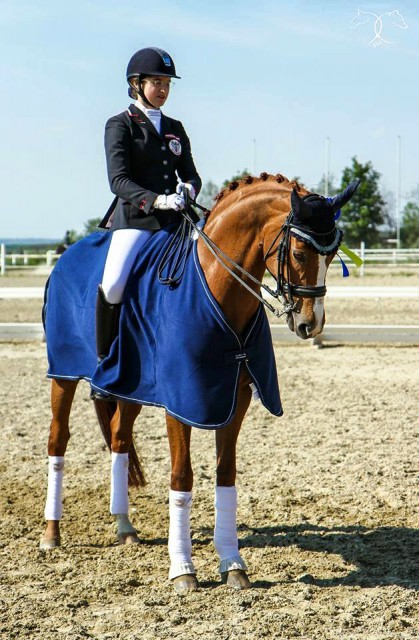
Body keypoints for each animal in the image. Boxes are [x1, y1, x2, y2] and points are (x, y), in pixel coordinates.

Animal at [40, 172, 360, 592]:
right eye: (299, 253)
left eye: (333, 253)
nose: (312, 324)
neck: (218, 286)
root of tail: (66, 256)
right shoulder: (182, 401)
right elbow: (182, 476)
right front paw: (182, 569)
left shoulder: (236, 397)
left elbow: (226, 474)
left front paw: (233, 563)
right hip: (62, 375)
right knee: (58, 439)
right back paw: (51, 533)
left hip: (130, 386)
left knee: (120, 438)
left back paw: (124, 526)